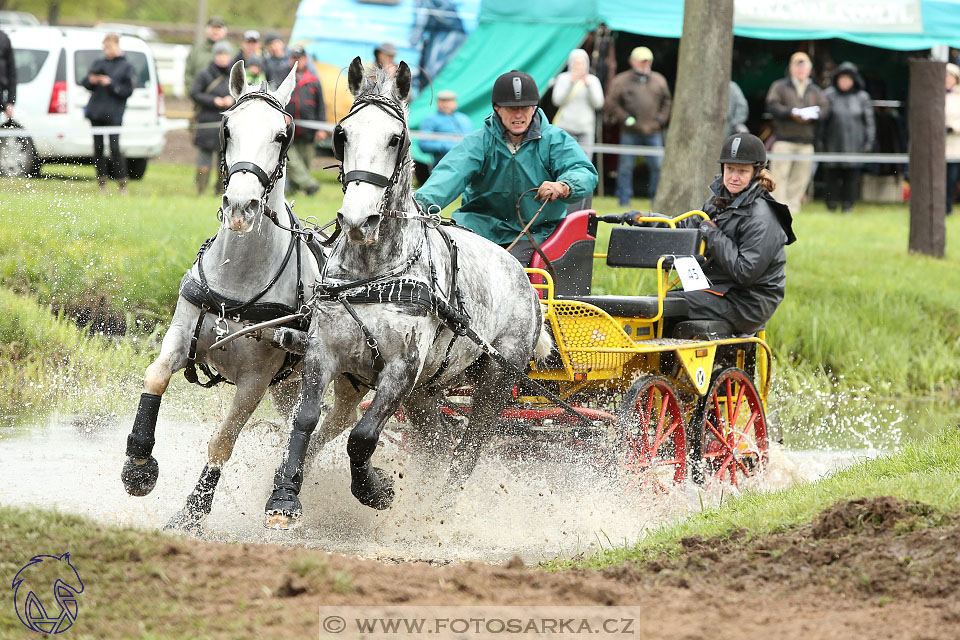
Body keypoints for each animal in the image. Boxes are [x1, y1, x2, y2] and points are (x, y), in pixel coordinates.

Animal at [118, 60, 322, 532]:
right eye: (227, 127)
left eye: (282, 134)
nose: (241, 206)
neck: (240, 280)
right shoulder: (181, 332)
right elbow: (156, 375)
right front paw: (138, 464)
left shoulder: (256, 379)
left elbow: (223, 441)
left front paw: (193, 511)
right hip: (288, 390)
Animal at [262, 58, 552, 528]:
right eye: (342, 134)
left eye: (395, 138)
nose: (357, 219)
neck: (374, 275)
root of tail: (525, 281)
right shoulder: (323, 351)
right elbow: (304, 420)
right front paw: (284, 497)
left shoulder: (402, 367)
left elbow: (362, 436)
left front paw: (376, 490)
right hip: (427, 389)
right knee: (437, 439)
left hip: (495, 381)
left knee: (468, 448)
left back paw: (439, 511)